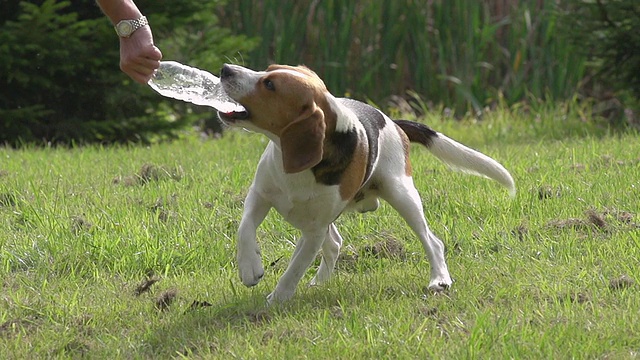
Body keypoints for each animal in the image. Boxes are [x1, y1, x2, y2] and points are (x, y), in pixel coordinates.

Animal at [218, 62, 512, 304]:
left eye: (270, 85)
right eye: (267, 69)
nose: (226, 69)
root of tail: (393, 122)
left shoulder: (315, 229)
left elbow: (295, 268)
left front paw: (278, 298)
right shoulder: (260, 195)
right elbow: (244, 229)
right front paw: (250, 267)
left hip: (402, 194)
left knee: (432, 241)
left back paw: (439, 278)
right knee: (334, 243)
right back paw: (319, 283)